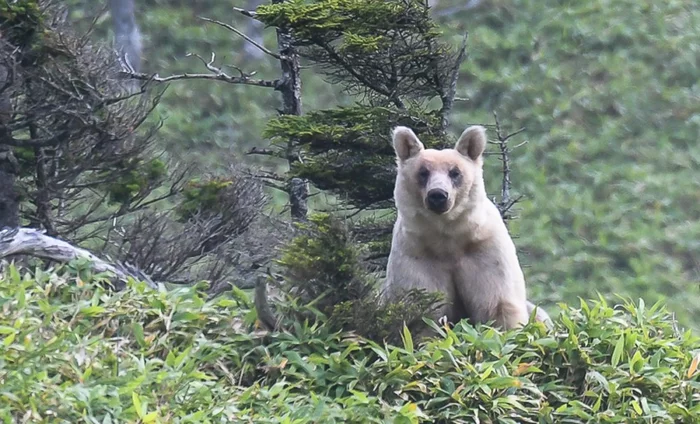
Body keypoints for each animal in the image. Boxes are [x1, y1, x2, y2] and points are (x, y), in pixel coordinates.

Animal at [380, 124, 548, 332]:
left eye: (455, 172)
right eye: (423, 172)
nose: (438, 195)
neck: (448, 237)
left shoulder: (485, 252)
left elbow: (497, 305)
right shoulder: (416, 258)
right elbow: (424, 313)